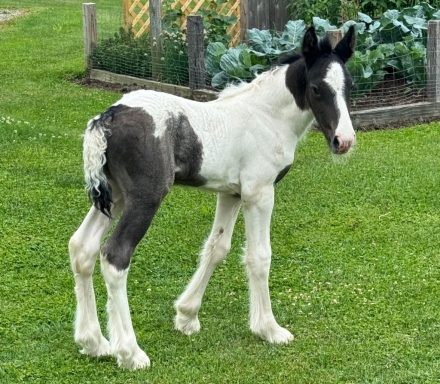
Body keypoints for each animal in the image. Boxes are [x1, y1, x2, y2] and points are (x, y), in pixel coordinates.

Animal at [69, 26, 358, 368]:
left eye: (349, 86)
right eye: (316, 88)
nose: (344, 141)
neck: (267, 116)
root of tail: (108, 116)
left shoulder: (231, 193)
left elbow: (217, 247)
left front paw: (186, 316)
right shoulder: (259, 193)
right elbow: (259, 256)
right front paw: (268, 328)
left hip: (115, 195)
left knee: (82, 247)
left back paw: (94, 342)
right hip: (144, 197)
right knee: (115, 255)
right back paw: (130, 352)